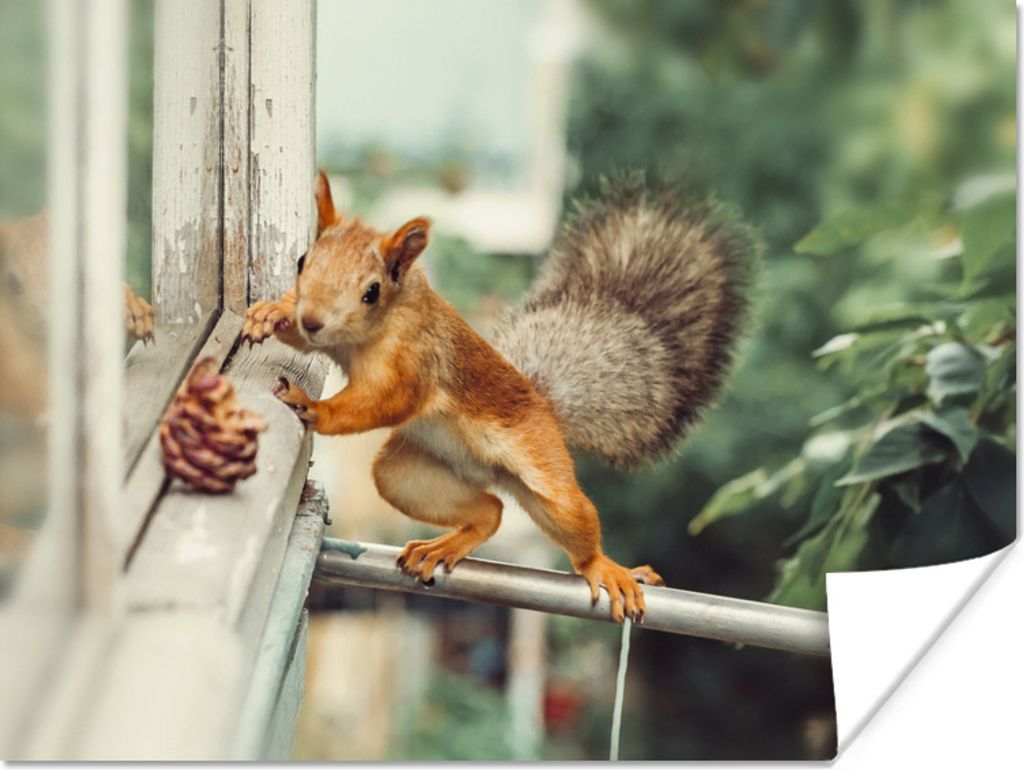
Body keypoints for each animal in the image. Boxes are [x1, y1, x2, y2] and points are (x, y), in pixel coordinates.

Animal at [242, 171, 755, 622]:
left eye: (372, 291)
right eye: (301, 262)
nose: (312, 318)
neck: (372, 329)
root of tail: (544, 406)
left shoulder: (414, 363)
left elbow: (384, 401)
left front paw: (314, 406)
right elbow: (302, 341)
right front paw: (270, 315)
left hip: (547, 477)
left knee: (572, 525)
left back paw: (606, 567)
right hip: (407, 475)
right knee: (490, 510)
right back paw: (443, 544)